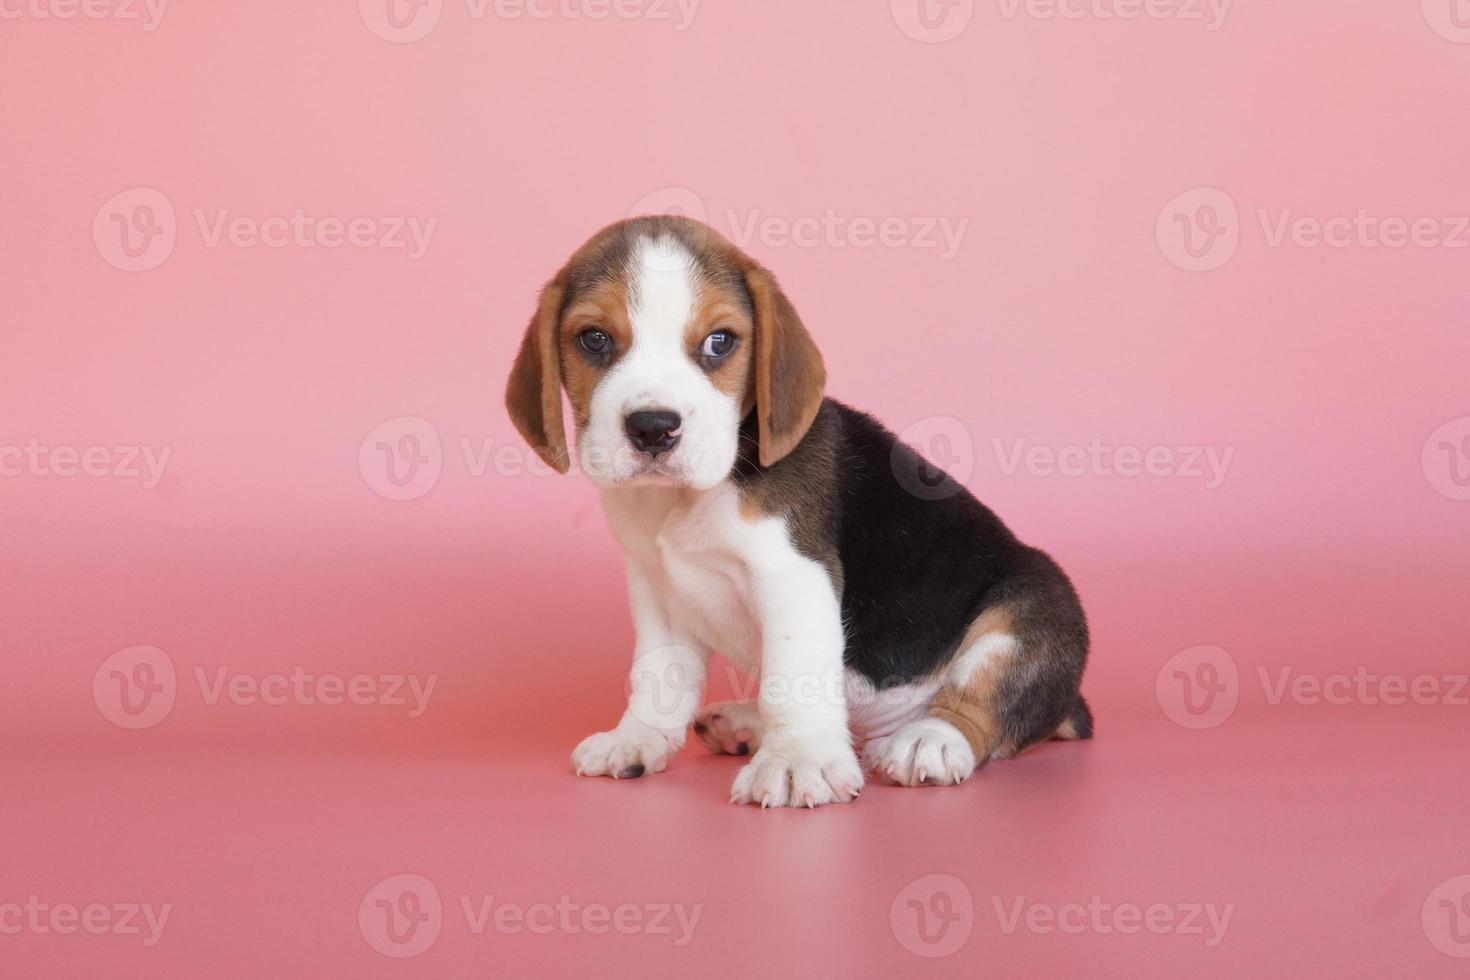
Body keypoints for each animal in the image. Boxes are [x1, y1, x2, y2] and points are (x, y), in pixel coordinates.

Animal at [505, 218, 1093, 811]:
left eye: (720, 342)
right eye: (594, 339)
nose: (653, 427)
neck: (684, 497)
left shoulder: (793, 575)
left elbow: (792, 676)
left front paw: (796, 761)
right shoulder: (657, 589)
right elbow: (658, 673)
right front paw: (638, 737)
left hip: (1035, 604)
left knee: (981, 701)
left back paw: (928, 740)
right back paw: (747, 725)